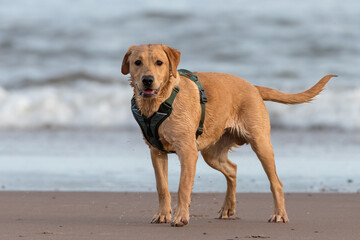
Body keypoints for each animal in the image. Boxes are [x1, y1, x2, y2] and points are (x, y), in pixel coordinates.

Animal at [122, 43, 336, 227]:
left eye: (160, 62)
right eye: (137, 62)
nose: (147, 80)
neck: (159, 103)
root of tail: (254, 87)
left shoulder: (188, 152)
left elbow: (183, 187)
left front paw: (180, 217)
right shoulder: (156, 151)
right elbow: (162, 187)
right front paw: (162, 215)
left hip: (261, 144)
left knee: (276, 182)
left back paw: (279, 214)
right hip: (211, 153)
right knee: (232, 169)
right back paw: (228, 208)